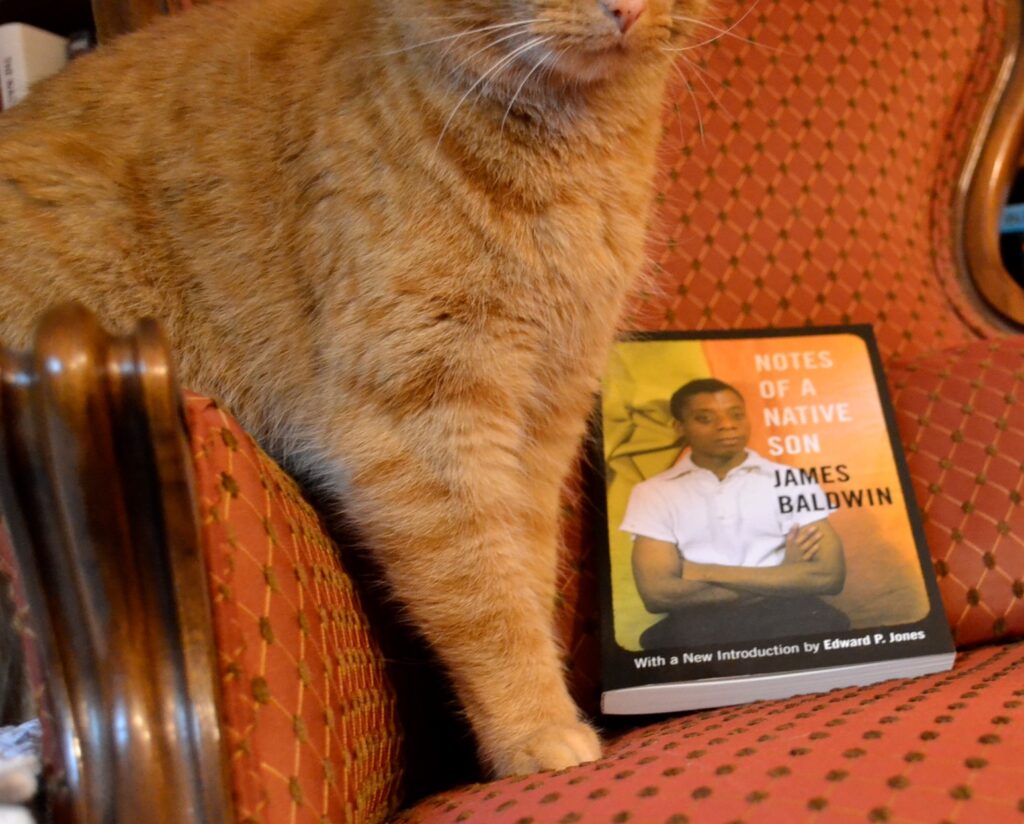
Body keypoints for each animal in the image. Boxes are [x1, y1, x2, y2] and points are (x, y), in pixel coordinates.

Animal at [0, 0, 712, 769]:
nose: (627, 9)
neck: (571, 151)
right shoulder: (423, 419)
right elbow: (485, 594)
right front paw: (536, 728)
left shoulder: (544, 416)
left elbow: (524, 570)